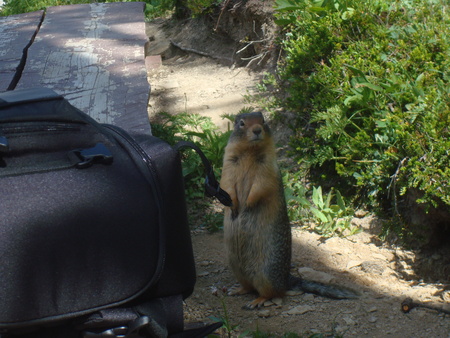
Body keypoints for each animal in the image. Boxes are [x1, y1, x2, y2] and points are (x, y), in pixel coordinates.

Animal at [220, 111, 356, 308]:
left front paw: (249, 204)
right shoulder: (229, 162)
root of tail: (287, 279)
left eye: (263, 120)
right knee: (249, 287)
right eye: (241, 123)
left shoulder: (267, 166)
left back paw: (257, 301)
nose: (257, 130)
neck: (250, 151)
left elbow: (261, 185)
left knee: (272, 292)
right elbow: (227, 184)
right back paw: (237, 290)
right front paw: (234, 205)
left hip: (267, 273)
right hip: (236, 267)